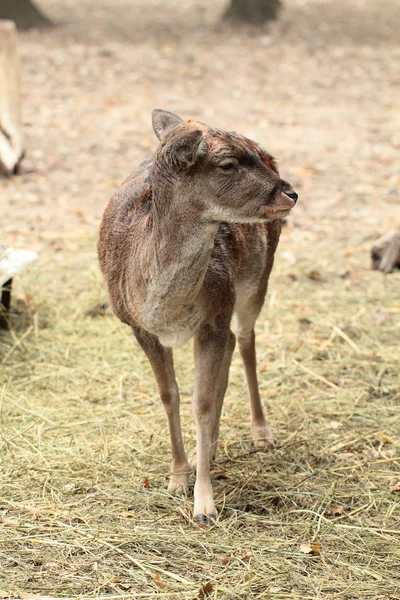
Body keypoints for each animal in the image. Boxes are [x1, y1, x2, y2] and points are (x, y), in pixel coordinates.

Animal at [97, 110, 296, 524]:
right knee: (235, 342)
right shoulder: (139, 326)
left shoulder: (214, 316)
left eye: (251, 157)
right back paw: (213, 447)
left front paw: (204, 504)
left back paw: (261, 434)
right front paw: (177, 477)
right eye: (228, 164)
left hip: (257, 278)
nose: (291, 192)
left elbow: (200, 402)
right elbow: (169, 395)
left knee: (247, 338)